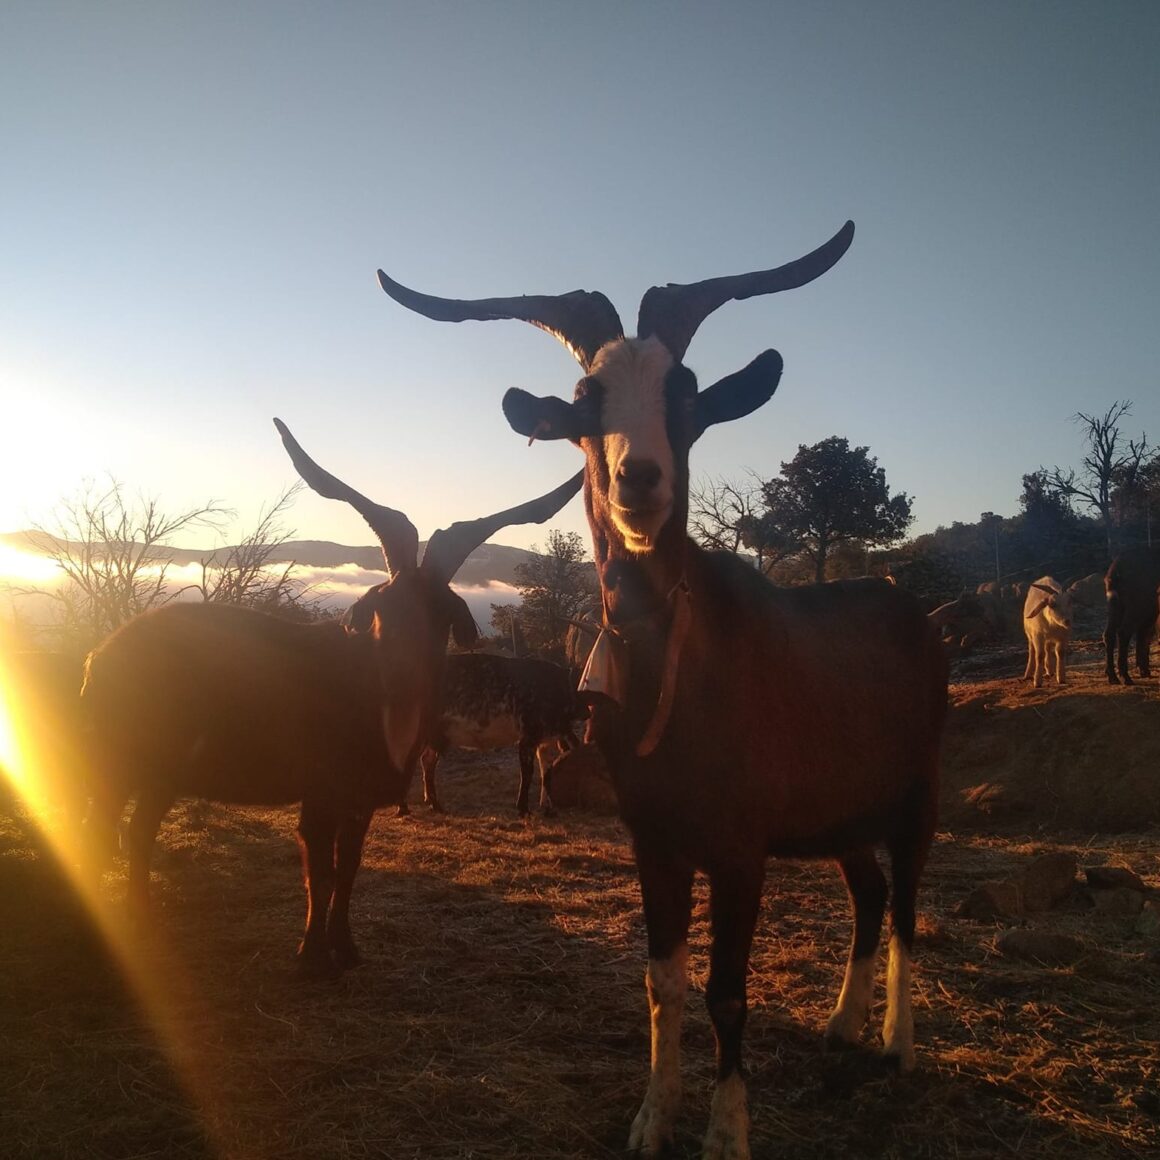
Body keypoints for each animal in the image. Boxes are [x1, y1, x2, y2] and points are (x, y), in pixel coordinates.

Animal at [409, 652, 584, 816]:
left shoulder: (546, 739)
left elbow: (546, 772)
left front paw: (548, 808)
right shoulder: (528, 737)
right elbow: (527, 773)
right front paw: (523, 809)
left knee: (427, 761)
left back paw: (435, 805)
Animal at [1103, 546, 1160, 684]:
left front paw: (1143, 670)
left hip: (1116, 607)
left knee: (1109, 634)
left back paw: (1113, 677)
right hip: (1137, 609)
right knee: (1124, 633)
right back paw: (1125, 677)